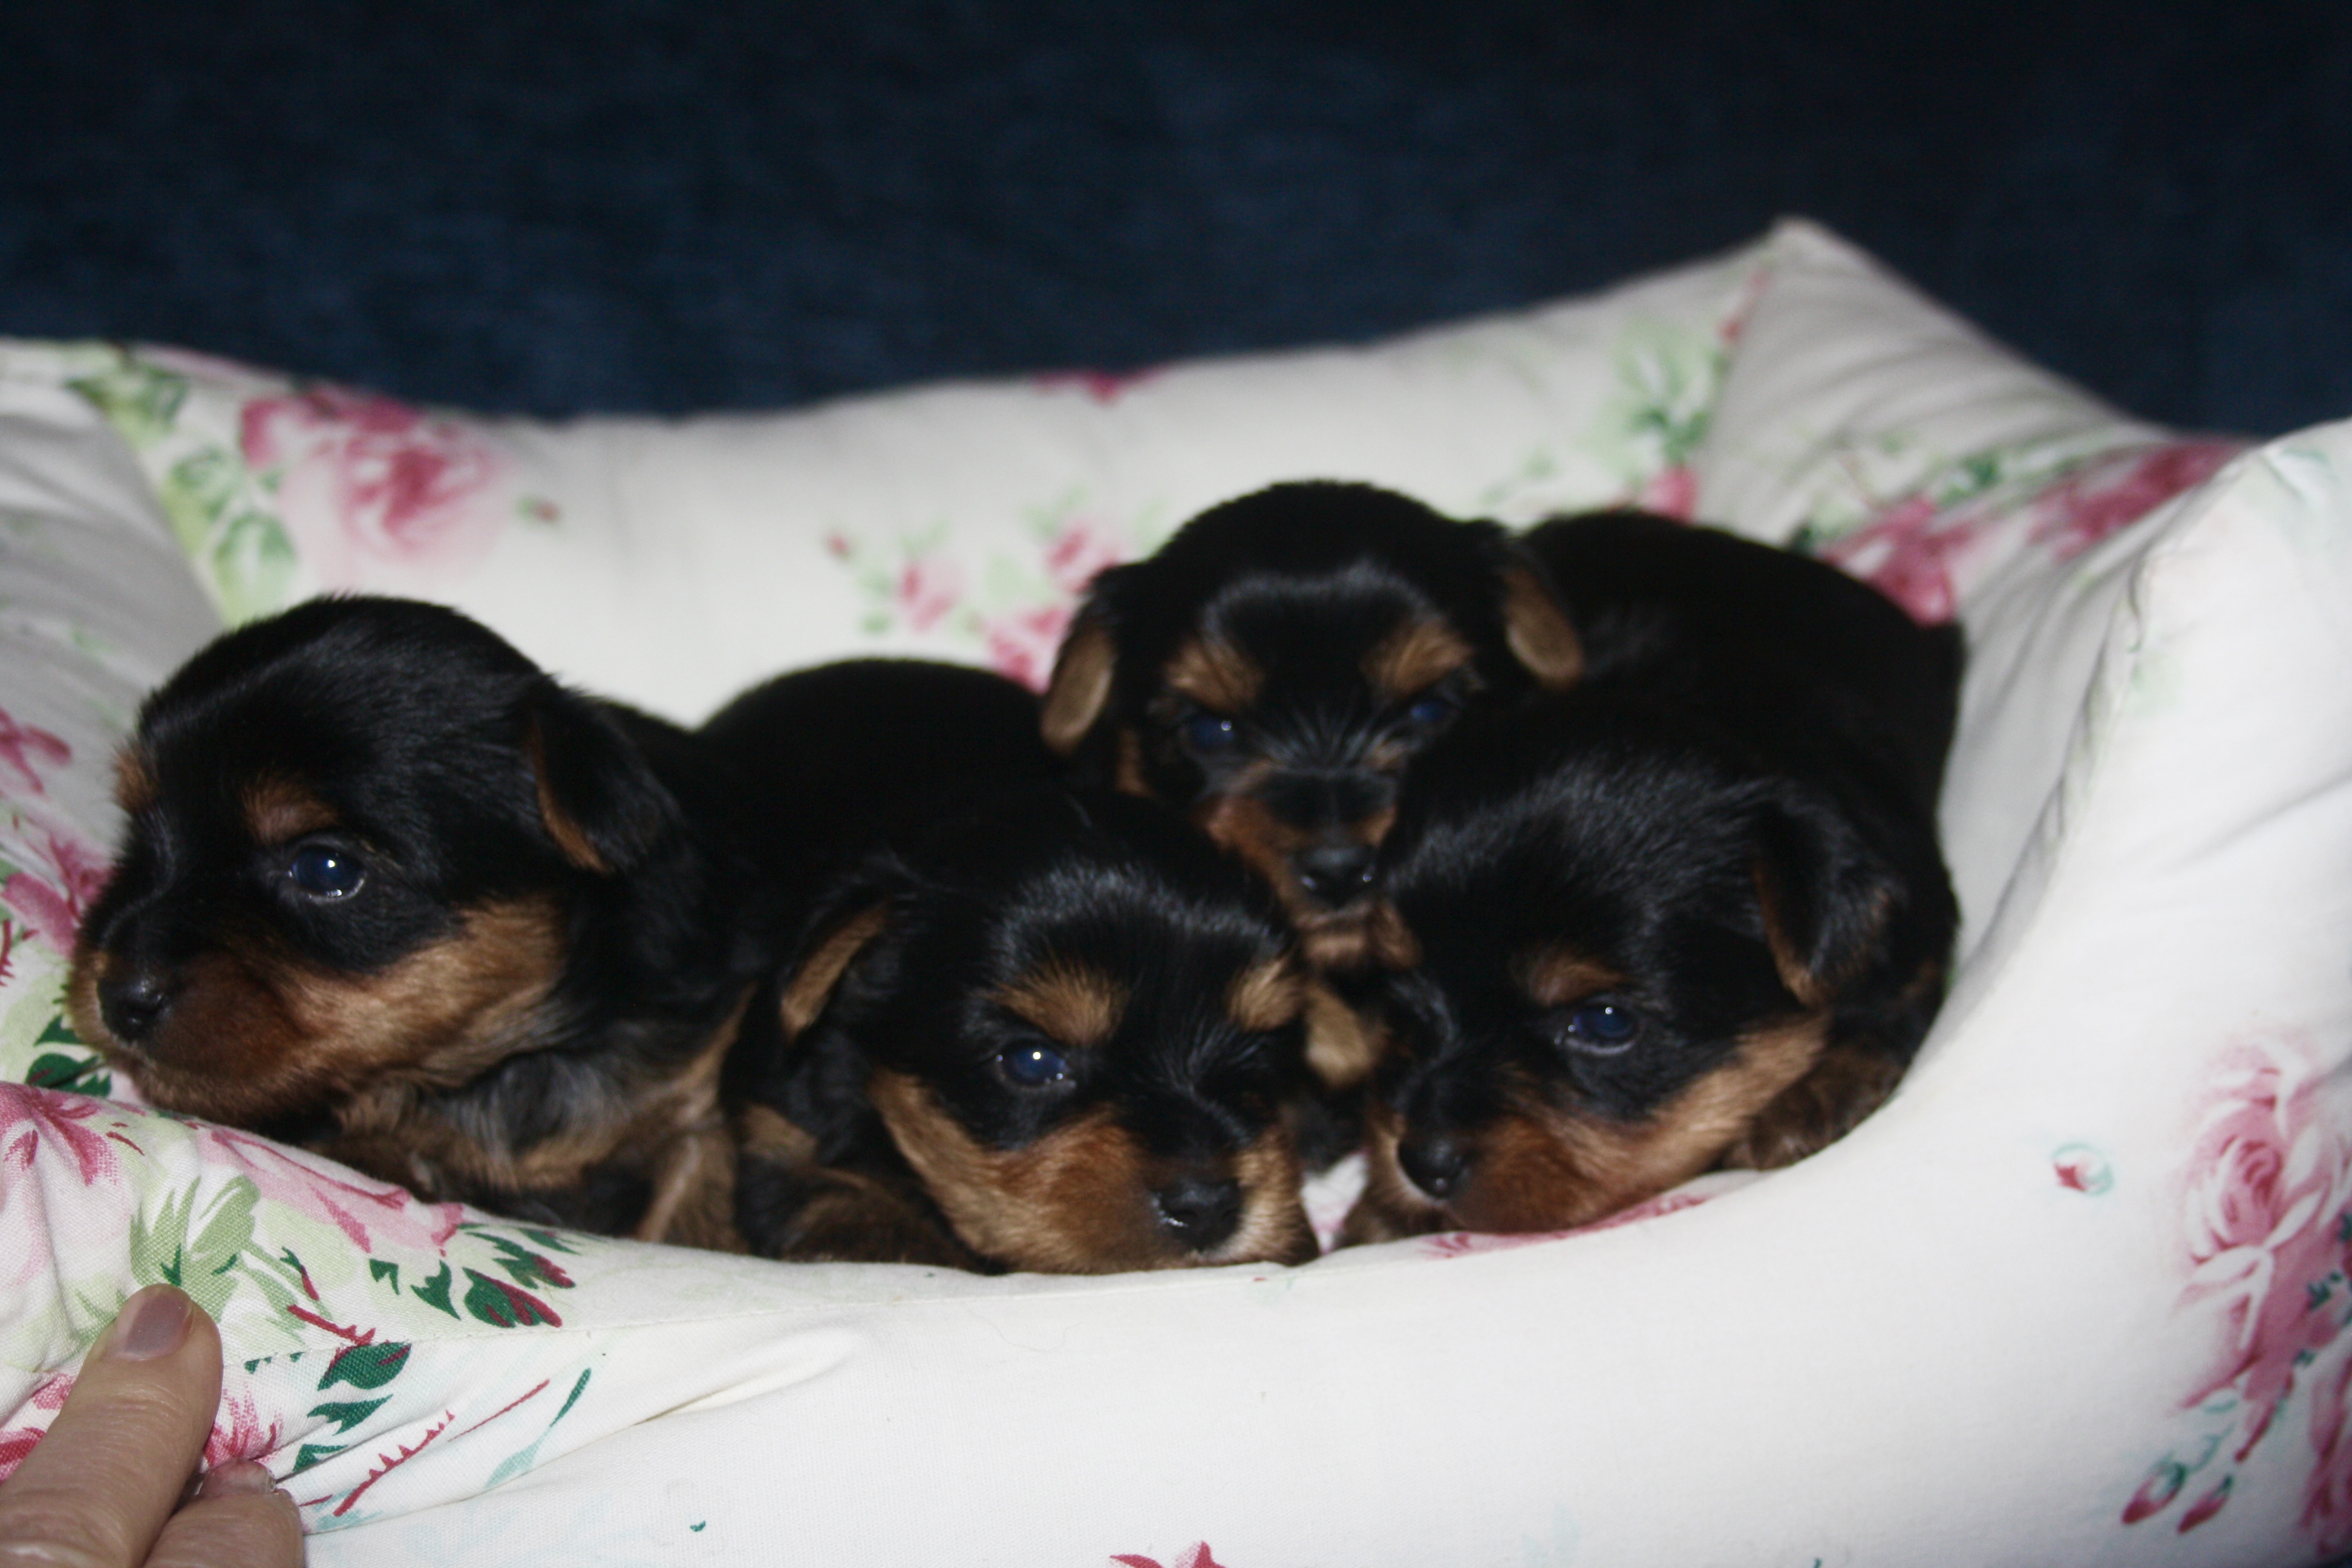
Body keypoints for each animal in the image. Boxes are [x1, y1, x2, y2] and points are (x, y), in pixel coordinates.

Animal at [68, 595, 759, 1248]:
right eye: (140, 835)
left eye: (324, 868)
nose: (120, 996)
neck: (489, 1063)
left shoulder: (693, 1094)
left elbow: (693, 1194)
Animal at [724, 785, 1324, 1273]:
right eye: (1032, 1062)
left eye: (1259, 1053)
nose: (1206, 1206)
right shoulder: (781, 1119)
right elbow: (815, 1180)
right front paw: (875, 1232)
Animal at [1341, 511, 1963, 1241]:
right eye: (1397, 997)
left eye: (1606, 1023)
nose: (1422, 1162)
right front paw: (1380, 1212)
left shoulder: (1914, 935)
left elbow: (1893, 1011)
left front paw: (1816, 1093)